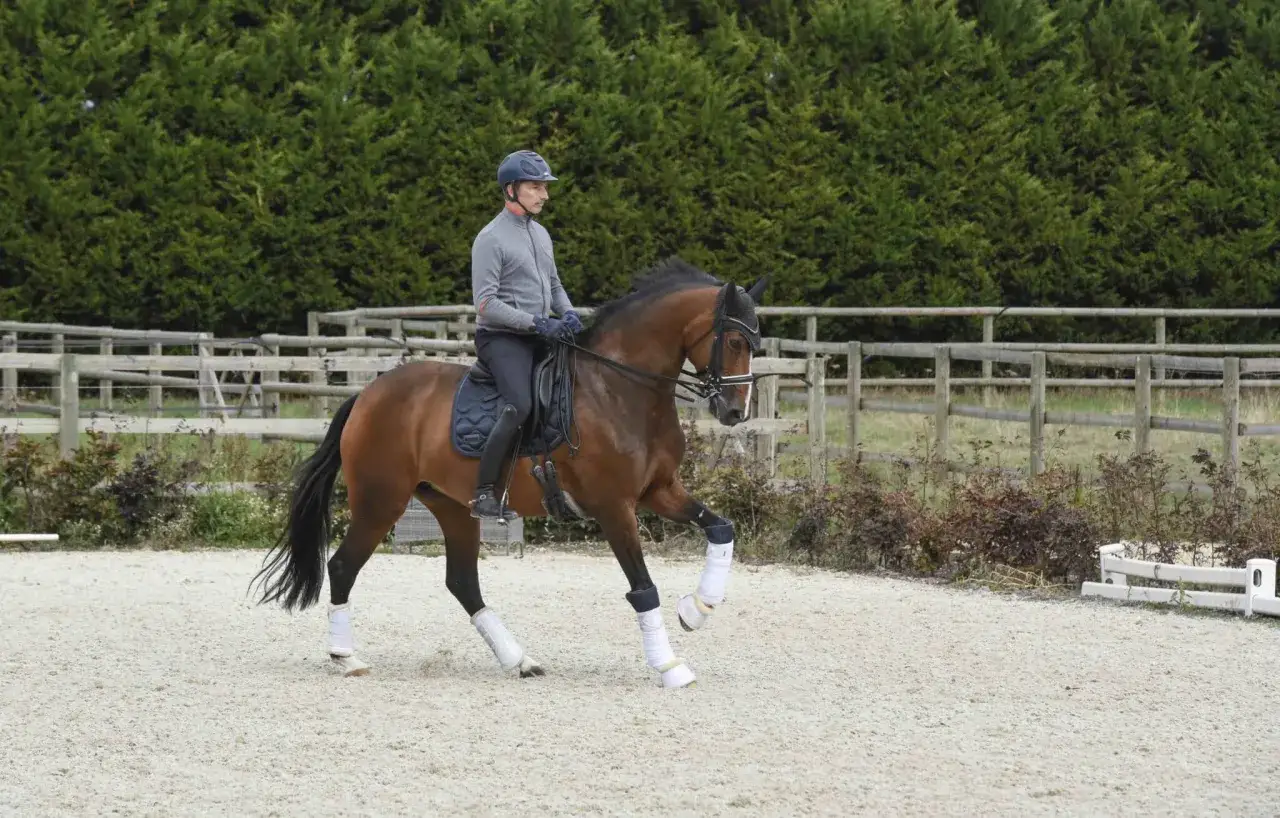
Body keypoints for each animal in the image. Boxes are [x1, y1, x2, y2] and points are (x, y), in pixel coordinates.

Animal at [250, 258, 767, 689]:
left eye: (755, 344)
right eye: (734, 341)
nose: (734, 412)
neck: (620, 389)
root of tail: (368, 394)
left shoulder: (660, 491)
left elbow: (722, 529)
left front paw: (697, 609)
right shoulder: (614, 507)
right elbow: (643, 587)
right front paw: (669, 666)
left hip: (452, 506)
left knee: (462, 582)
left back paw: (519, 660)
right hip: (382, 502)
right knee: (343, 566)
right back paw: (346, 657)